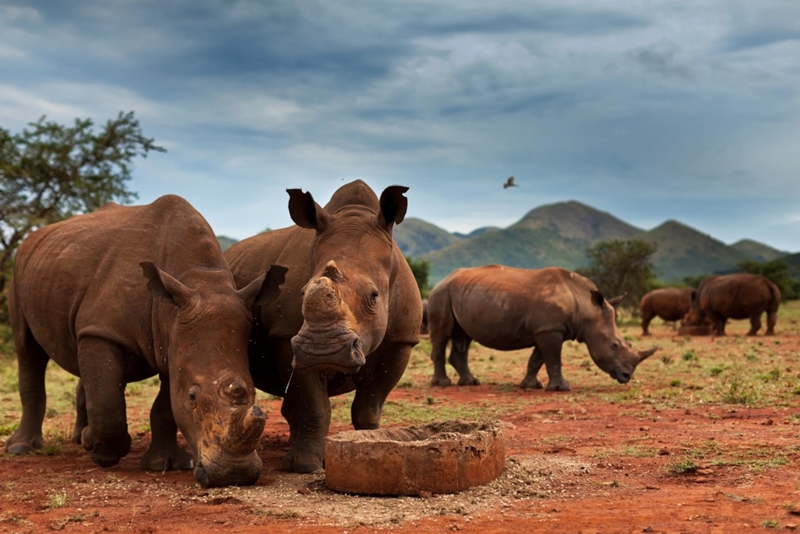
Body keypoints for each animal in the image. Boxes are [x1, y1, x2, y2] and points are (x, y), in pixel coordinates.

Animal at [5, 195, 285, 487]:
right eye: (192, 397)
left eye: (254, 393)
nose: (234, 475)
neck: (197, 279)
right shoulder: (103, 329)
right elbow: (108, 405)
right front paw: (103, 453)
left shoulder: (173, 341)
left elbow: (164, 407)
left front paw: (165, 463)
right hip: (22, 271)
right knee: (28, 348)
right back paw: (23, 448)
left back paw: (79, 438)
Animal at [224, 180, 422, 473]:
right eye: (302, 293)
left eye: (374, 296)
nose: (323, 350)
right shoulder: (286, 337)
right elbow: (313, 406)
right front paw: (306, 466)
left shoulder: (402, 340)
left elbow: (369, 405)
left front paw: (369, 444)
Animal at [427, 265, 657, 391]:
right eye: (614, 345)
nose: (626, 377)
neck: (585, 307)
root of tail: (443, 279)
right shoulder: (550, 329)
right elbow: (553, 359)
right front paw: (561, 389)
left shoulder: (547, 329)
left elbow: (537, 359)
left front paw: (530, 386)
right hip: (440, 294)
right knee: (442, 334)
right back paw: (442, 384)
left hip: (462, 294)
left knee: (464, 337)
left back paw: (471, 382)